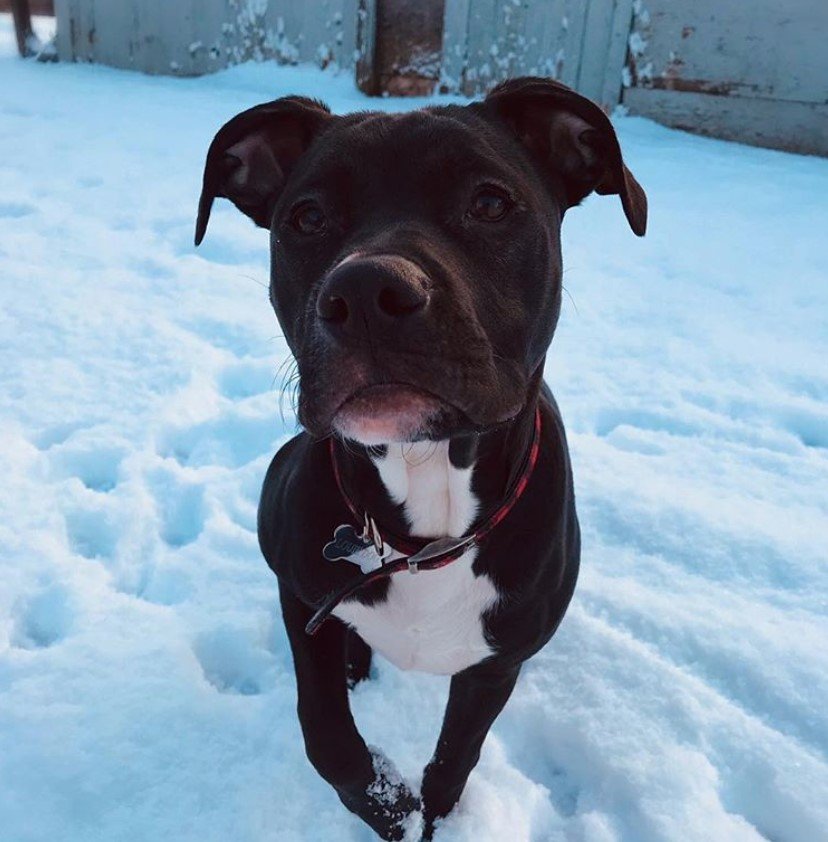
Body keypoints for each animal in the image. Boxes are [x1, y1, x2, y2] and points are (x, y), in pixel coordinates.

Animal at [196, 77, 648, 832]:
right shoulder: (301, 599)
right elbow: (327, 736)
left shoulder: (494, 666)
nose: (364, 293)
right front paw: (390, 806)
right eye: (307, 216)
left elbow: (454, 762)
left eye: (490, 203)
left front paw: (425, 816)